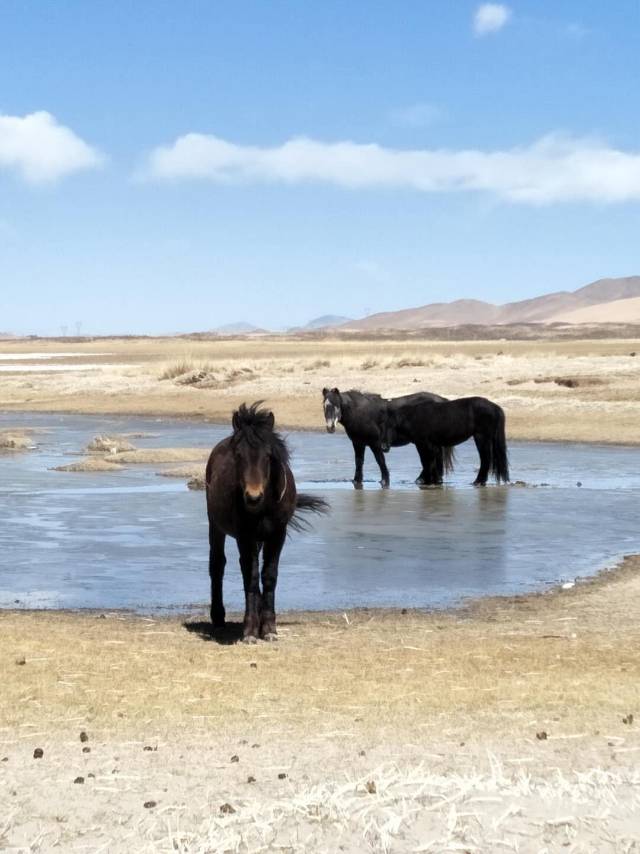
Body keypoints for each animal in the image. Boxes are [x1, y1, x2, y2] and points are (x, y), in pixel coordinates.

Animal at [206, 404, 328, 644]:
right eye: (238, 454)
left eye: (269, 455)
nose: (253, 497)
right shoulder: (245, 536)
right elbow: (251, 578)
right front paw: (250, 631)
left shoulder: (276, 534)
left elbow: (269, 575)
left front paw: (269, 628)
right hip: (215, 525)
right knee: (218, 564)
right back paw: (218, 616)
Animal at [320, 388, 456, 488]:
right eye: (324, 406)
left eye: (337, 405)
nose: (330, 427)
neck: (360, 412)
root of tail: (441, 400)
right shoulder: (358, 443)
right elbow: (359, 462)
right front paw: (357, 481)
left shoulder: (375, 443)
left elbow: (380, 461)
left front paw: (385, 481)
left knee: (431, 459)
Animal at [380, 396, 510, 484]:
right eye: (382, 427)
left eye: (392, 426)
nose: (383, 446)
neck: (412, 418)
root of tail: (494, 407)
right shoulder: (434, 445)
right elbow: (434, 462)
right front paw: (435, 480)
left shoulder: (423, 443)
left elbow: (427, 461)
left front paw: (426, 480)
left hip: (481, 437)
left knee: (485, 459)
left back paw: (478, 481)